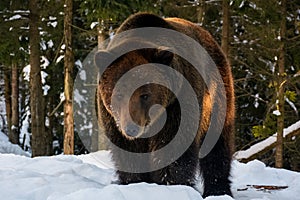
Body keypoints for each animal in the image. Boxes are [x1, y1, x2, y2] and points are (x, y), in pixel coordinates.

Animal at [95, 12, 236, 198]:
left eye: (145, 95)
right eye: (118, 94)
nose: (131, 129)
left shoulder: (178, 105)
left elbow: (173, 149)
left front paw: (170, 186)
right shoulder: (112, 120)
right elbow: (128, 154)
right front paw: (135, 183)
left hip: (217, 97)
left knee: (217, 147)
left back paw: (218, 190)